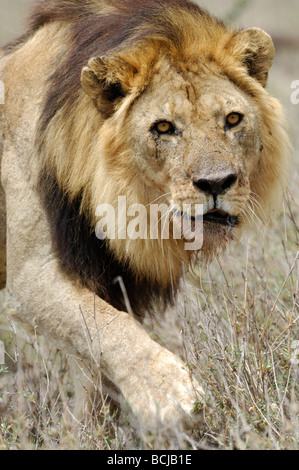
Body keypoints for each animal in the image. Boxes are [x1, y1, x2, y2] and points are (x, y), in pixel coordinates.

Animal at [0, 0, 290, 434]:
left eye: (233, 119)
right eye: (164, 127)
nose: (216, 183)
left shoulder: (113, 277)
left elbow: (94, 365)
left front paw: (87, 431)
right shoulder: (32, 274)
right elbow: (107, 329)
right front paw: (170, 395)